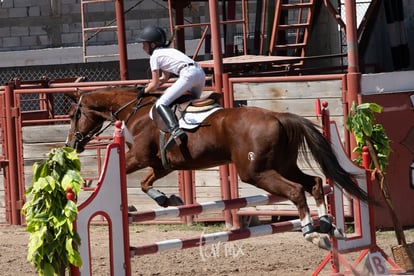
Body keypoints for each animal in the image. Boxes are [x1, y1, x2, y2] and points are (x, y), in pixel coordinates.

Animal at [66, 85, 370, 249]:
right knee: (315, 183)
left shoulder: (137, 158)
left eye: (72, 115)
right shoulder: (162, 163)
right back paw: (329, 226)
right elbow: (146, 182)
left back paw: (312, 233)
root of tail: (278, 117)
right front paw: (167, 199)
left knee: (296, 191)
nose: (72, 144)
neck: (134, 111)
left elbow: (128, 176)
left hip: (255, 172)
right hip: (283, 164)